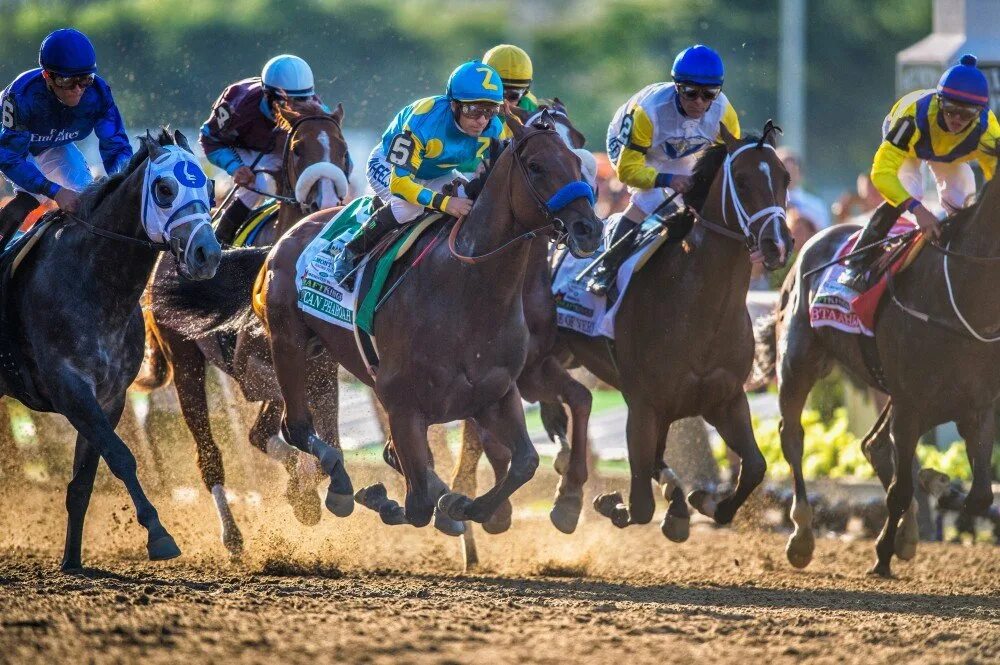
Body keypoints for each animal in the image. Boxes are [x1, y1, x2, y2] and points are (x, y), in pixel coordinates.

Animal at [0, 127, 221, 568]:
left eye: (208, 186)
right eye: (165, 188)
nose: (207, 254)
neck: (96, 283)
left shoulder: (110, 395)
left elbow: (83, 482)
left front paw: (72, 561)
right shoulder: (69, 388)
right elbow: (121, 456)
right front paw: (159, 535)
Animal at [133, 101, 352, 556]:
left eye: (342, 150)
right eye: (299, 149)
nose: (325, 202)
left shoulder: (323, 370)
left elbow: (314, 442)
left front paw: (306, 491)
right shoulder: (257, 370)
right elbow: (274, 431)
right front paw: (302, 493)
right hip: (186, 363)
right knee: (209, 452)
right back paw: (232, 534)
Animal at [256, 114, 600, 528]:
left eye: (579, 160)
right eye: (536, 166)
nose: (589, 229)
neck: (466, 293)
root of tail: (293, 231)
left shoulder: (497, 393)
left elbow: (526, 462)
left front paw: (466, 506)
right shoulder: (402, 405)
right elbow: (417, 504)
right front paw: (400, 501)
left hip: (321, 356)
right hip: (289, 344)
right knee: (297, 427)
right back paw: (340, 485)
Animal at [752, 169, 1000, 572]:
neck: (963, 297)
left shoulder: (977, 404)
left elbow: (978, 495)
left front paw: (935, 491)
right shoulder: (913, 403)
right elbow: (901, 490)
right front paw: (883, 553)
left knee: (876, 445)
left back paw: (909, 532)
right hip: (798, 363)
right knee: (793, 437)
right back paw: (802, 535)